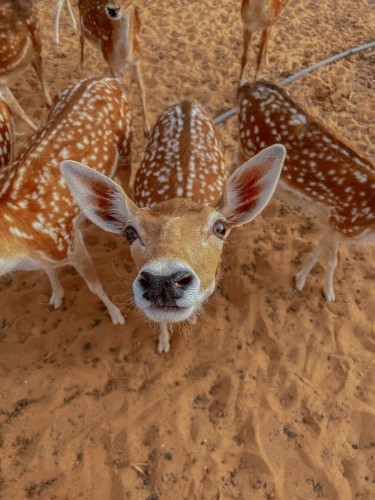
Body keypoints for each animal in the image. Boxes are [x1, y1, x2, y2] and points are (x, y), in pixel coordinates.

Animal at [0, 74, 133, 324]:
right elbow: (49, 270)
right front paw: (56, 296)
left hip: (127, 143)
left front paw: (116, 314)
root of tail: (109, 79)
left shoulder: (71, 245)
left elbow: (94, 286)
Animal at [61, 100, 286, 352]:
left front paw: (193, 319)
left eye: (220, 228)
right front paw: (163, 343)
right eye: (130, 232)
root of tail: (187, 102)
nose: (162, 281)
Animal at [78, 0, 151, 137]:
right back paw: (81, 63)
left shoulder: (137, 59)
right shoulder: (111, 64)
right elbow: (121, 94)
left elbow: (142, 90)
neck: (123, 55)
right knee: (80, 35)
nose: (112, 9)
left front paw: (147, 129)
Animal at [235, 80, 375, 302]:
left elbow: (318, 251)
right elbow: (332, 262)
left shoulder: (329, 225)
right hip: (247, 145)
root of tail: (246, 87)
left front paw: (299, 280)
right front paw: (329, 294)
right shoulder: (339, 225)